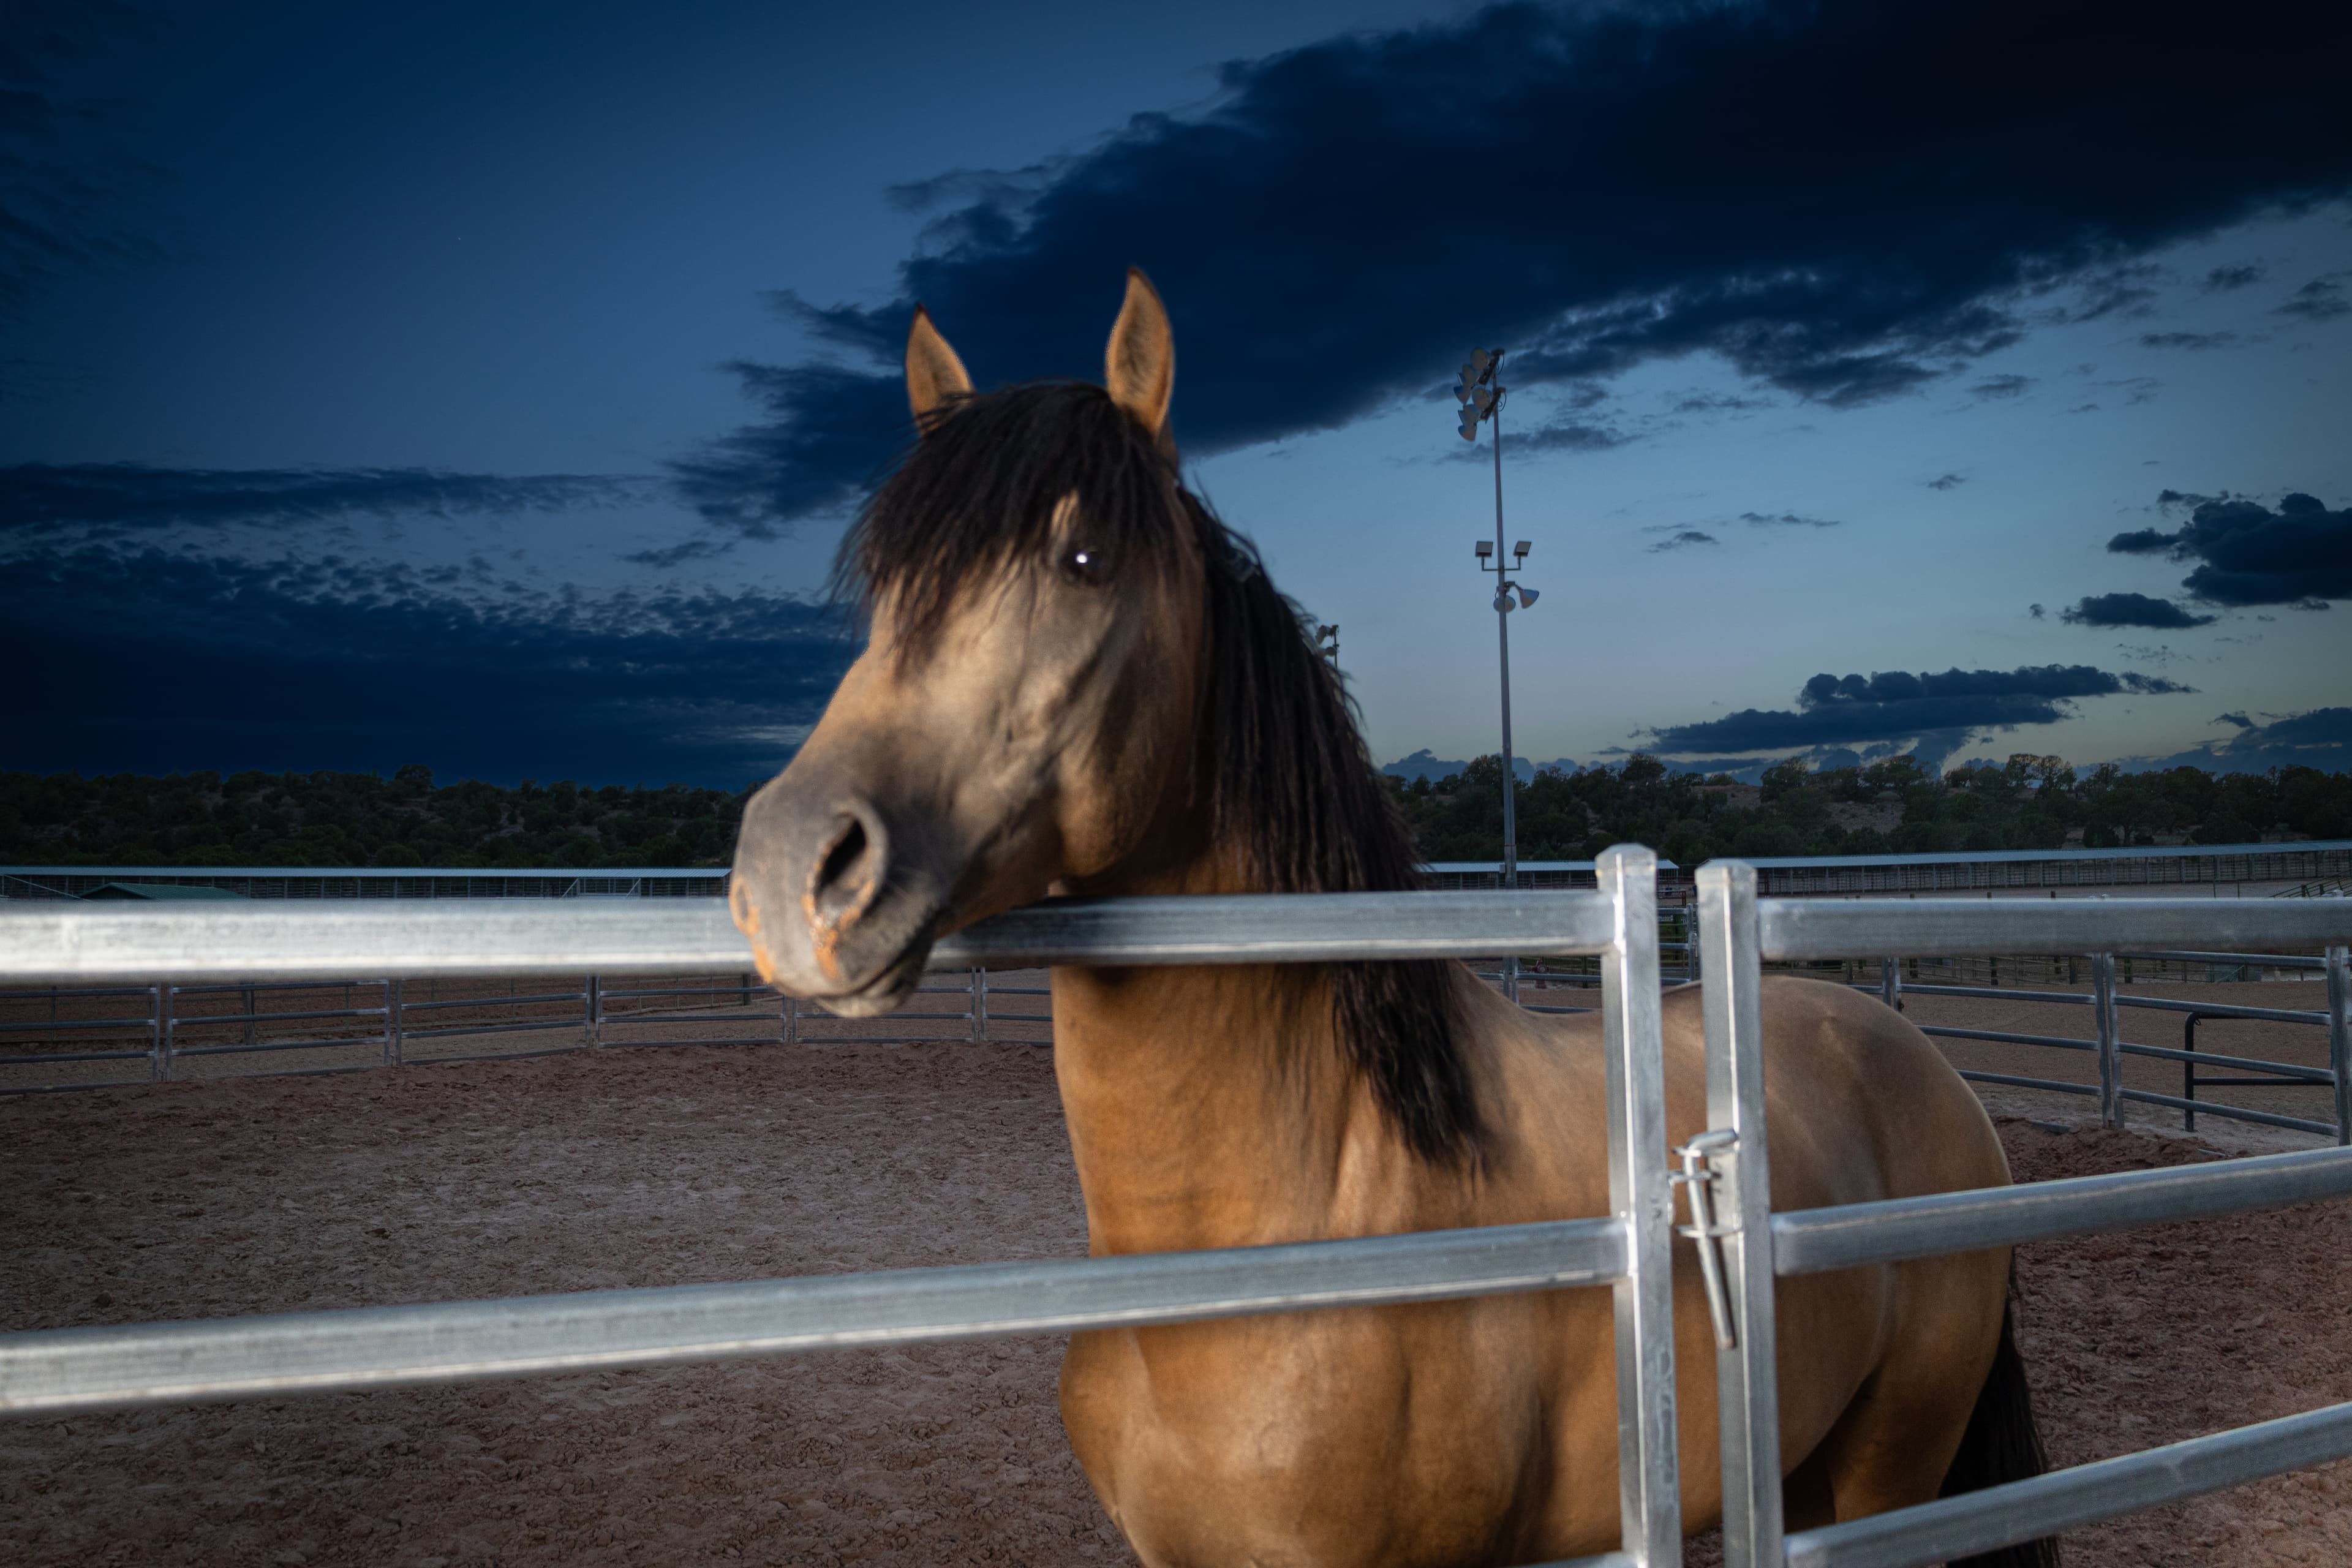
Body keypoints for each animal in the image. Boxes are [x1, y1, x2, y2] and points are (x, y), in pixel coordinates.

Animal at [728, 270, 2057, 1568]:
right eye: (891, 583)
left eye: (1087, 559)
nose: (795, 868)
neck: (1288, 1238)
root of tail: (1912, 1055)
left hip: (1888, 1470)